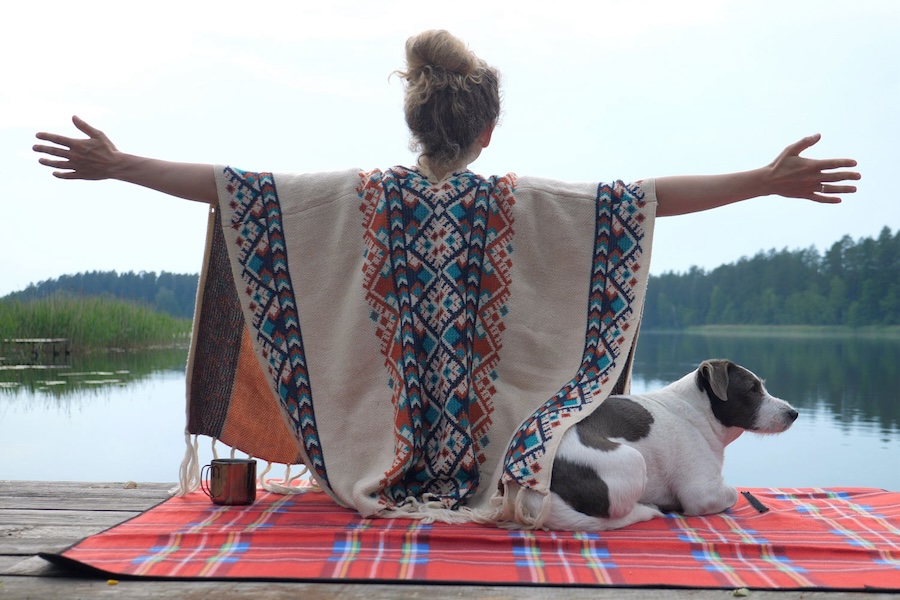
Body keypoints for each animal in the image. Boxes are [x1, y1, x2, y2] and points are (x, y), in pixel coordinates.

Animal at [524, 358, 800, 528]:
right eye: (752, 389)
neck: (697, 412)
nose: (793, 413)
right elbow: (732, 494)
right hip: (634, 462)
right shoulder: (701, 492)